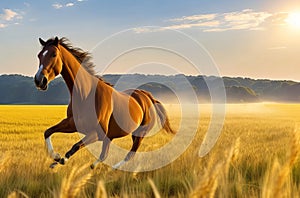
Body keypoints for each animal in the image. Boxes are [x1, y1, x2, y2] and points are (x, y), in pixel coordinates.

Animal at [33, 36, 175, 169]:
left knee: (130, 154)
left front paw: (61, 160)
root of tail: (147, 96)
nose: (39, 80)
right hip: (113, 136)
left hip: (140, 134)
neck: (85, 95)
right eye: (39, 55)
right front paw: (55, 158)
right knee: (104, 154)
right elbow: (48, 132)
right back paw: (93, 166)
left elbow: (75, 146)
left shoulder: (97, 133)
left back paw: (113, 168)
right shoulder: (72, 124)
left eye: (54, 54)